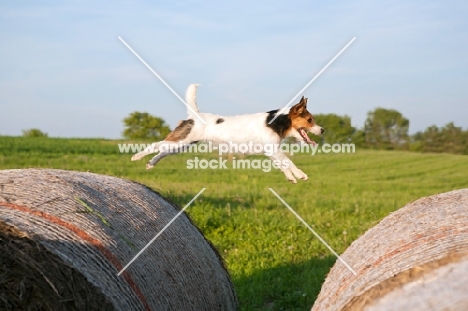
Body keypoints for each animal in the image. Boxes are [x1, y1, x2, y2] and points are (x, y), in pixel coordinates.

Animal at [130, 84, 324, 184]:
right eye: (310, 120)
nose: (322, 130)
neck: (277, 122)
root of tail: (194, 116)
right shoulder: (274, 150)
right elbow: (289, 162)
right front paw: (300, 174)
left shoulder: (272, 152)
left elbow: (283, 165)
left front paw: (291, 177)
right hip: (179, 141)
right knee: (155, 145)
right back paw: (136, 157)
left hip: (182, 145)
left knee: (162, 152)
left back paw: (150, 164)